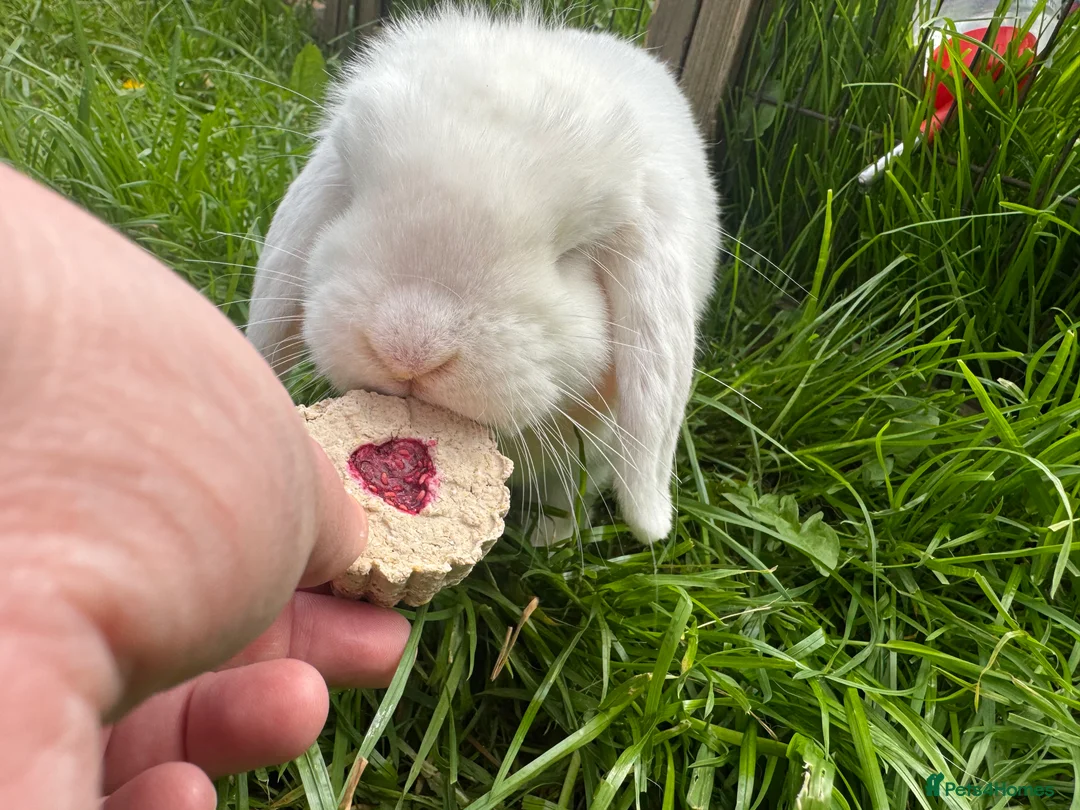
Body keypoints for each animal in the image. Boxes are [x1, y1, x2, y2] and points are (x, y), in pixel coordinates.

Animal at [247, 3, 721, 545]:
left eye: (571, 255)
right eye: (351, 197)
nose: (408, 350)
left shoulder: (599, 449)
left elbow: (569, 498)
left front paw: (550, 541)